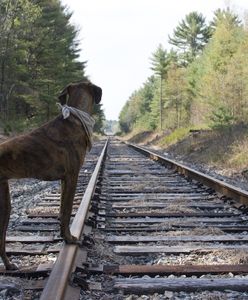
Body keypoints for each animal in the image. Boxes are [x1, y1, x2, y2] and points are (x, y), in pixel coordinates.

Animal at [0, 79, 101, 270]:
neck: (75, 118)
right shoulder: (72, 176)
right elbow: (67, 211)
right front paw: (70, 239)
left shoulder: (63, 181)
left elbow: (61, 211)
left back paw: (9, 265)